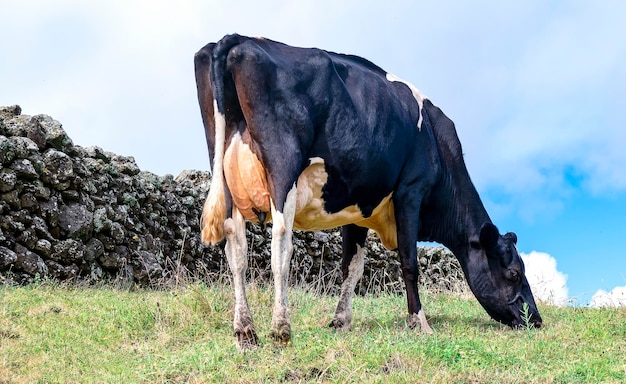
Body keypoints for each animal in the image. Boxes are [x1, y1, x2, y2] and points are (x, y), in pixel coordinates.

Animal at [193, 34, 540, 350]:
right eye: (513, 273)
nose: (535, 319)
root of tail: (237, 38)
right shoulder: (410, 191)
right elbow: (409, 262)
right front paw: (420, 323)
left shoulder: (358, 205)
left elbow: (352, 267)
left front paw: (341, 321)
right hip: (283, 168)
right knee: (281, 242)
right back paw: (281, 329)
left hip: (224, 175)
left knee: (235, 248)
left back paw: (245, 332)